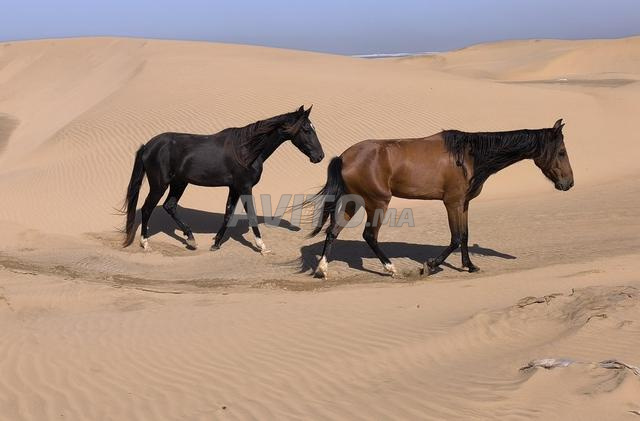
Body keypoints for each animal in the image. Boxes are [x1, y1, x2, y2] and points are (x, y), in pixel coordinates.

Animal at [122, 105, 324, 252]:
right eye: (307, 129)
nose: (320, 156)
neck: (247, 150)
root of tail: (148, 146)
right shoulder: (245, 187)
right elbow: (250, 214)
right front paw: (262, 246)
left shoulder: (234, 188)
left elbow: (228, 214)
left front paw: (216, 243)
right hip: (159, 185)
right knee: (147, 208)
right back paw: (145, 243)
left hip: (179, 183)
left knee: (169, 206)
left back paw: (191, 239)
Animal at [308, 119, 574, 279]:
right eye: (561, 152)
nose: (569, 183)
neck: (469, 156)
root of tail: (343, 157)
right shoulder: (451, 203)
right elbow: (455, 238)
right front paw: (430, 265)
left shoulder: (464, 204)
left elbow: (465, 235)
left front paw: (469, 265)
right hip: (377, 203)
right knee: (369, 235)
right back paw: (391, 268)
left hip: (354, 201)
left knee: (333, 231)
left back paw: (322, 269)